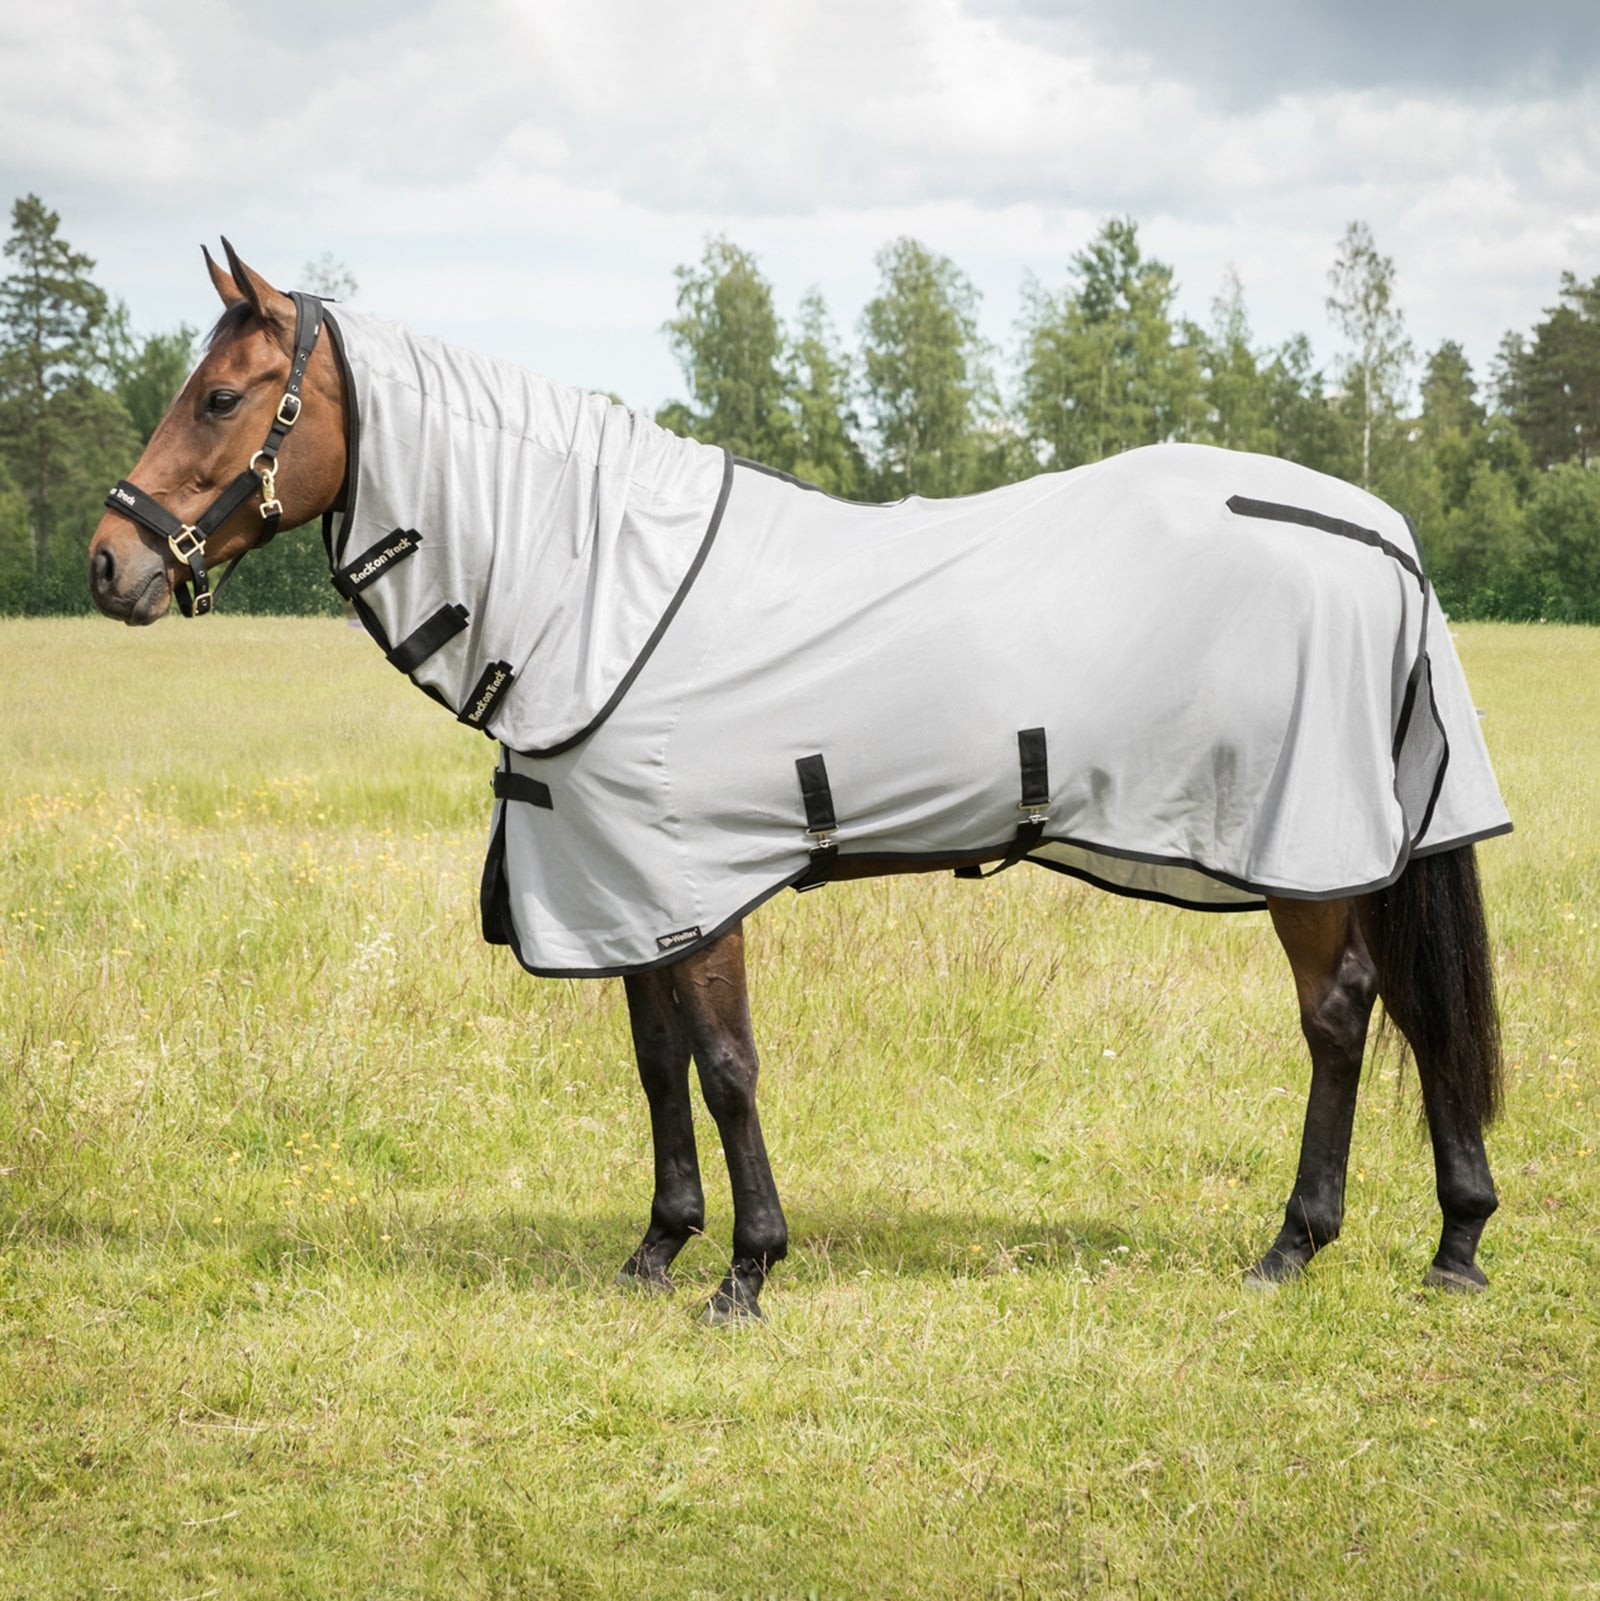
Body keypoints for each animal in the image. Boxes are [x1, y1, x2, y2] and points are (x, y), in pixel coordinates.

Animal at [88, 243, 1508, 1323]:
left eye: (222, 396)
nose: (111, 562)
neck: (596, 586)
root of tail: (1378, 532)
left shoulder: (691, 878)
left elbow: (724, 1066)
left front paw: (747, 1271)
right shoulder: (622, 886)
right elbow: (656, 1062)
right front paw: (659, 1246)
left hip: (1302, 845)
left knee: (1341, 1013)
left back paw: (1296, 1241)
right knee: (1412, 1010)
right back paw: (1453, 1241)